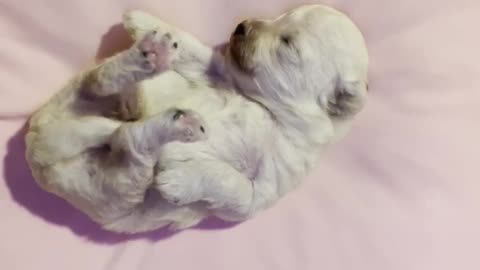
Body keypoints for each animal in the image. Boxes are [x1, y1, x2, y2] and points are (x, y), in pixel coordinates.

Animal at [25, 3, 368, 232]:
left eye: (288, 43)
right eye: (280, 17)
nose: (241, 26)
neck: (266, 107)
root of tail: (37, 150)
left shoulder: (268, 187)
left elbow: (233, 187)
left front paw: (179, 178)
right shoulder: (219, 72)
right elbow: (201, 54)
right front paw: (144, 20)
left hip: (115, 192)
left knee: (132, 142)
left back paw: (176, 122)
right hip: (82, 107)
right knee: (100, 84)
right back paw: (149, 58)